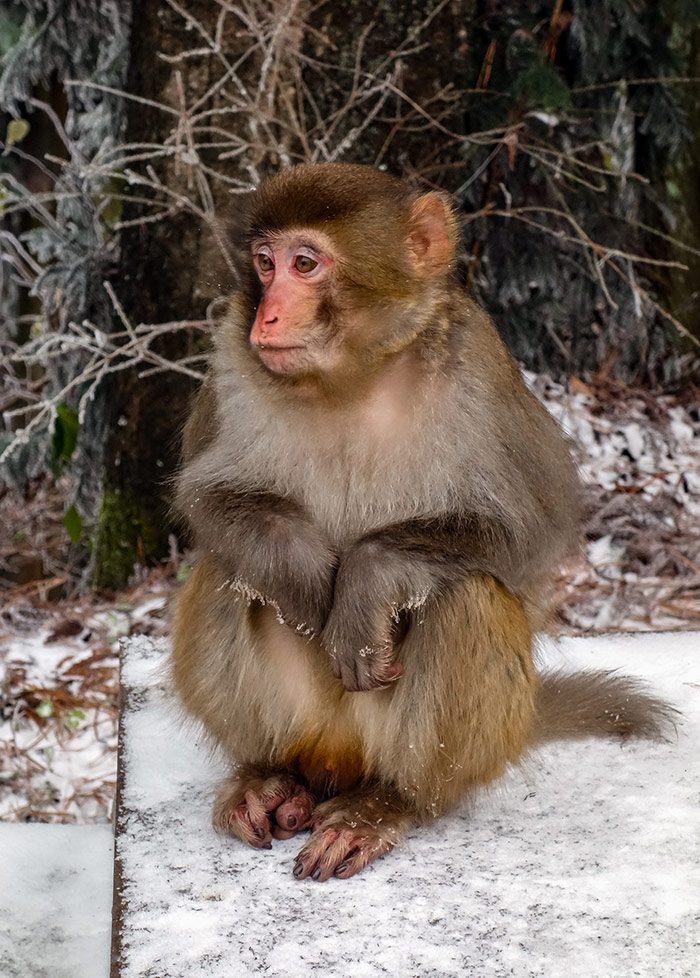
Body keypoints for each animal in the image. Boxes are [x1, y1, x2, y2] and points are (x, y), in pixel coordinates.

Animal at [172, 162, 674, 883]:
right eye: (265, 263)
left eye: (305, 263)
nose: (267, 315)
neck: (349, 380)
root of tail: (335, 762)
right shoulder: (233, 364)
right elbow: (206, 499)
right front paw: (304, 573)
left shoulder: (479, 368)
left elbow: (535, 530)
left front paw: (365, 582)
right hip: (308, 725)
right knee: (226, 570)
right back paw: (265, 777)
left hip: (444, 737)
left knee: (465, 595)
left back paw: (388, 803)